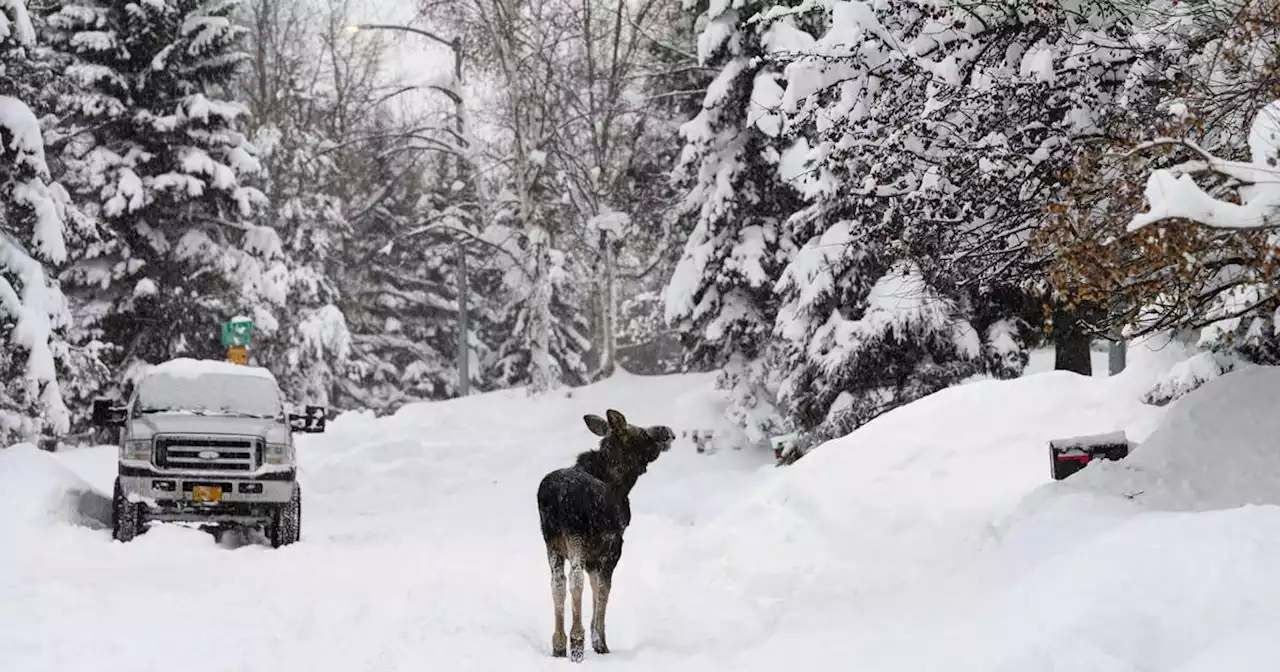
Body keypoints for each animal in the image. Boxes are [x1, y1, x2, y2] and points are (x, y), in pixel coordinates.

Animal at [537, 409, 680, 660]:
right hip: (576, 538)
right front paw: (600, 644)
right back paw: (576, 641)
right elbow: (603, 591)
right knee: (575, 580)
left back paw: (559, 644)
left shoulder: (592, 558)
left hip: (551, 542)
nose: (669, 433)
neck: (622, 483)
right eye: (643, 434)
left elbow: (595, 588)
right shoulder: (612, 549)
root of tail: (556, 498)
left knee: (557, 582)